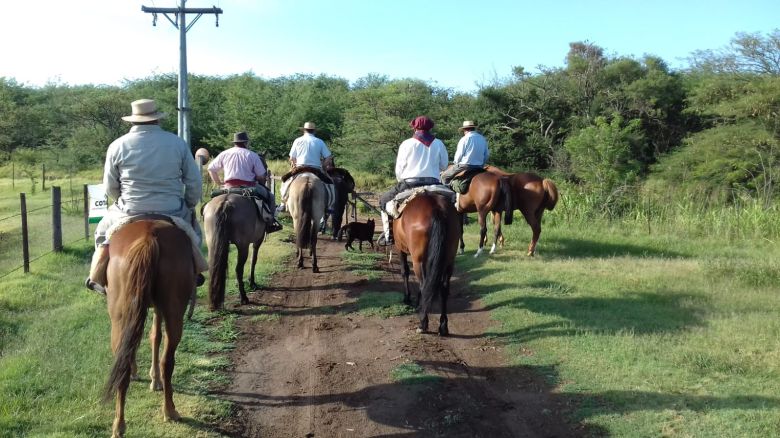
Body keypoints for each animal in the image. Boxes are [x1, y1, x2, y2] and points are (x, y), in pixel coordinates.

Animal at [102, 217, 195, 436]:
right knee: (167, 360)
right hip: (173, 312)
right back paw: (169, 410)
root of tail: (148, 237)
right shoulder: (158, 308)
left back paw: (119, 425)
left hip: (119, 316)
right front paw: (155, 380)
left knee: (125, 361)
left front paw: (152, 378)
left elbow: (151, 336)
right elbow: (155, 336)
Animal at [394, 192, 460, 336]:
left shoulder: (400, 248)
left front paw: (407, 298)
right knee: (443, 289)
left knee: (424, 284)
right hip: (449, 260)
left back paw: (423, 323)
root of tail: (436, 208)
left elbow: (404, 271)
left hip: (418, 260)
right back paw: (443, 326)